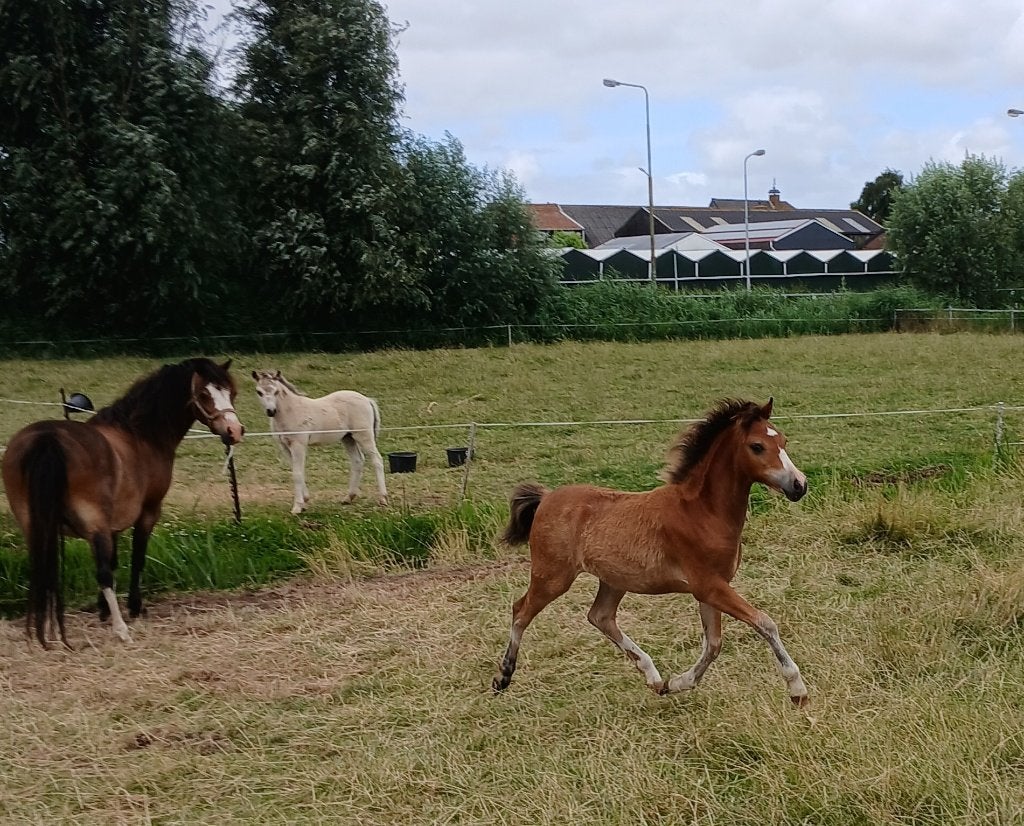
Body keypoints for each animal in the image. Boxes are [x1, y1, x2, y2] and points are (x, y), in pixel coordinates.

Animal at [1, 358, 244, 648]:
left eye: (231, 392)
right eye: (205, 394)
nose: (234, 431)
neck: (139, 434)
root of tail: (47, 439)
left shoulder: (111, 525)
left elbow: (115, 562)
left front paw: (103, 610)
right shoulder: (147, 512)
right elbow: (134, 559)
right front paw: (134, 607)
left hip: (35, 525)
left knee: (43, 571)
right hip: (92, 522)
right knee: (101, 573)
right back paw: (121, 630)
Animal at [251, 370, 388, 513]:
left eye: (276, 391)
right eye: (259, 392)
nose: (271, 411)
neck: (291, 411)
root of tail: (367, 399)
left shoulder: (298, 445)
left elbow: (297, 474)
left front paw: (297, 507)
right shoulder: (284, 446)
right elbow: (297, 471)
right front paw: (305, 500)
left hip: (364, 436)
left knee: (377, 460)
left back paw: (383, 498)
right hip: (348, 438)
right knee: (357, 461)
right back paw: (348, 497)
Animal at [493, 398, 811, 705]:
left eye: (783, 441)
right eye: (757, 446)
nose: (799, 485)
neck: (702, 512)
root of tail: (546, 498)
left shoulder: (712, 588)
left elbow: (714, 643)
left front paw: (677, 683)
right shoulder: (709, 585)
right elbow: (764, 623)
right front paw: (797, 690)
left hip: (613, 580)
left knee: (600, 616)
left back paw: (654, 677)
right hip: (553, 576)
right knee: (521, 610)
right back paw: (503, 677)